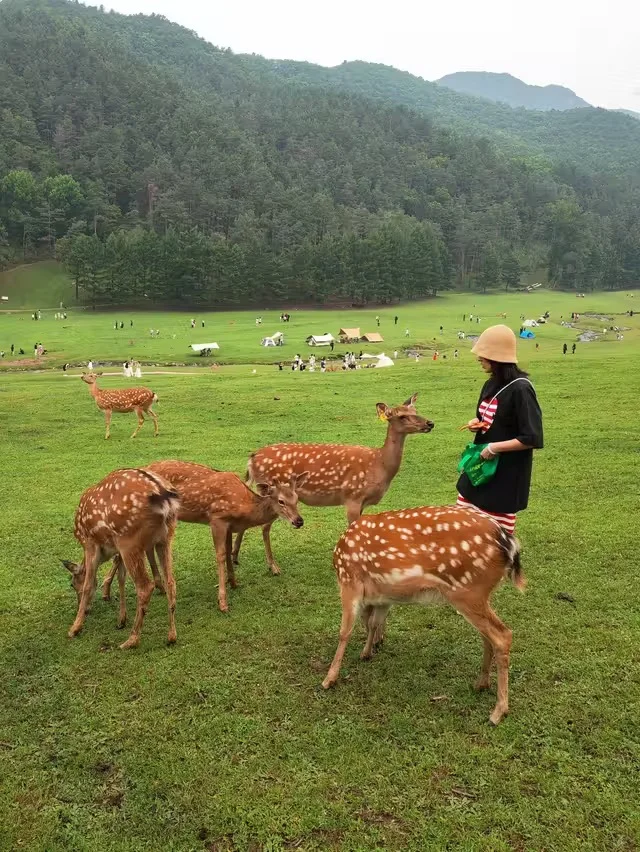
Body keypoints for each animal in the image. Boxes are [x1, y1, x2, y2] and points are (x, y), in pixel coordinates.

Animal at [63, 468, 179, 649]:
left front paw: (75, 628)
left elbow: (89, 584)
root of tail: (163, 495)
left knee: (145, 586)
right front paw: (121, 620)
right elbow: (121, 577)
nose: (85, 609)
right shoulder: (117, 549)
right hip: (165, 537)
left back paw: (131, 640)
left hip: (129, 539)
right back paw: (171, 636)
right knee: (171, 582)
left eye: (72, 584)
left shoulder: (90, 543)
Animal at [101, 460, 309, 613]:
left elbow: (228, 551)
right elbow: (220, 555)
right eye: (281, 501)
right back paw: (106, 592)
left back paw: (153, 586)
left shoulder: (229, 525)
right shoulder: (217, 518)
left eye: (297, 498)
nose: (299, 521)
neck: (244, 507)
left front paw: (234, 582)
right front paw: (223, 602)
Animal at [321, 505, 525, 726]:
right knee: (488, 636)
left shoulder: (349, 580)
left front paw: (329, 679)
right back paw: (481, 683)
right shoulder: (384, 597)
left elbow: (345, 632)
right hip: (480, 594)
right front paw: (367, 652)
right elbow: (374, 623)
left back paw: (498, 711)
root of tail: (509, 543)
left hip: (468, 591)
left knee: (502, 635)